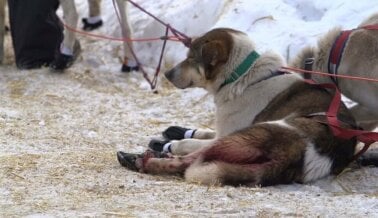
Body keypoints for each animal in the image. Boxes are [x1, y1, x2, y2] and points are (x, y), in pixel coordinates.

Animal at [116, 28, 358, 186]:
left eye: (191, 58)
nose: (166, 73)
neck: (242, 76)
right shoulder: (224, 127)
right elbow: (204, 131)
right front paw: (179, 131)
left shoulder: (227, 132)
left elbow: (188, 142)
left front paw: (171, 142)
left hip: (245, 137)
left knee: (191, 157)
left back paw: (141, 158)